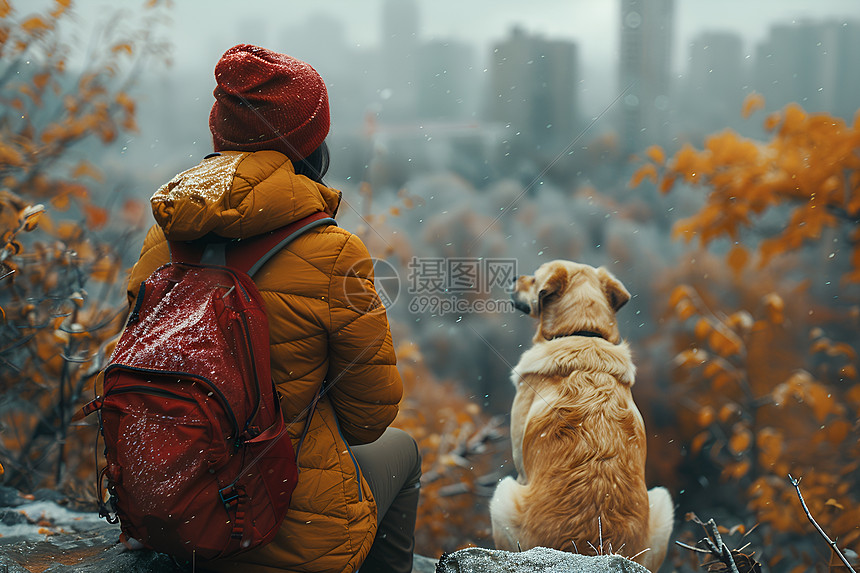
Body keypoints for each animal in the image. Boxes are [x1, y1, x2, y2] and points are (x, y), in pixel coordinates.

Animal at [488, 262, 676, 568]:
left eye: (534, 277)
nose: (514, 278)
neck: (583, 332)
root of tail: (591, 550)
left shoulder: (519, 463)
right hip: (661, 507)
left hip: (502, 495)